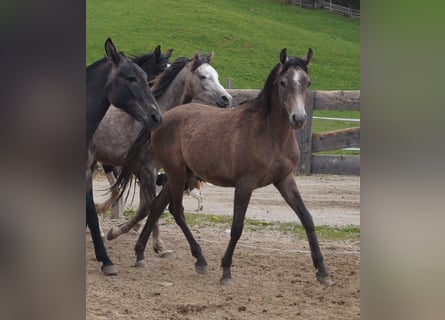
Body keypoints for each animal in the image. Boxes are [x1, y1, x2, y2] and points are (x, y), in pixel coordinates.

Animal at [91, 52, 231, 255]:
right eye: (203, 76)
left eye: (217, 75)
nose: (227, 99)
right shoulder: (147, 170)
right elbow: (150, 206)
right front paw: (154, 243)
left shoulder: (149, 171)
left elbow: (148, 206)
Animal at [130, 47, 332, 284]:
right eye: (283, 82)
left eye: (307, 82)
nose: (298, 118)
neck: (269, 133)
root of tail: (163, 118)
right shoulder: (245, 184)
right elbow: (237, 227)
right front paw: (226, 270)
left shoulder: (284, 179)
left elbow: (307, 218)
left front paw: (322, 271)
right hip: (177, 174)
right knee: (176, 210)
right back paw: (199, 259)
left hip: (179, 175)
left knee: (157, 207)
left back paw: (142, 254)